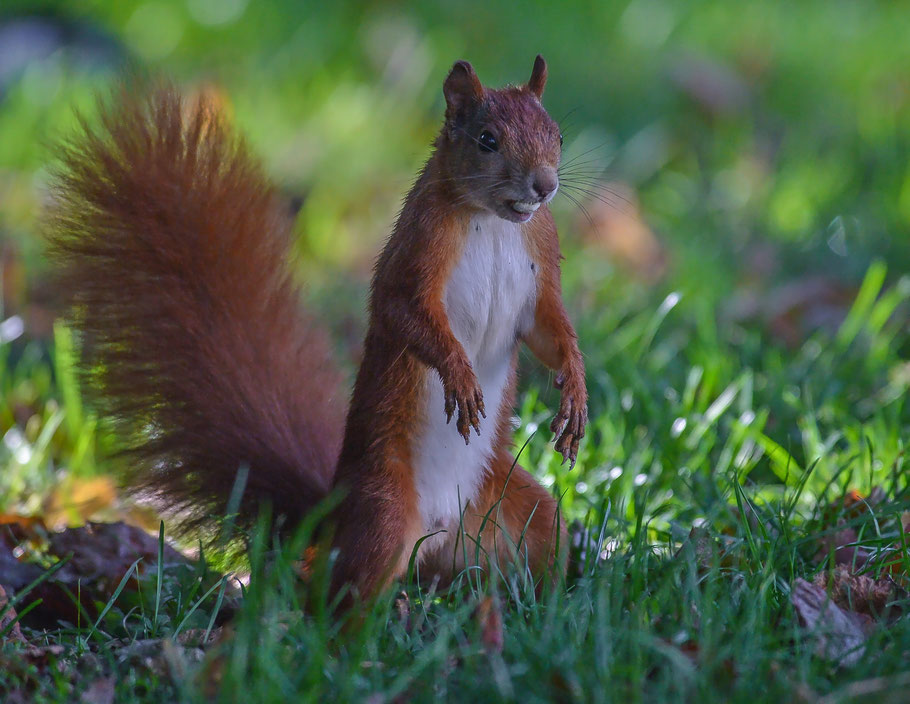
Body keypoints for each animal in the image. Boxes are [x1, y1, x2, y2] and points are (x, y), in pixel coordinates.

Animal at [46, 57, 592, 604]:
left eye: (558, 135)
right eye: (487, 140)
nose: (544, 185)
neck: (495, 221)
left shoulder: (541, 258)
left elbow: (548, 329)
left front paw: (575, 391)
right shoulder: (418, 248)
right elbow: (404, 313)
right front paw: (459, 374)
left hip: (510, 509)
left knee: (544, 534)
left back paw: (541, 605)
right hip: (384, 514)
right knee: (345, 590)